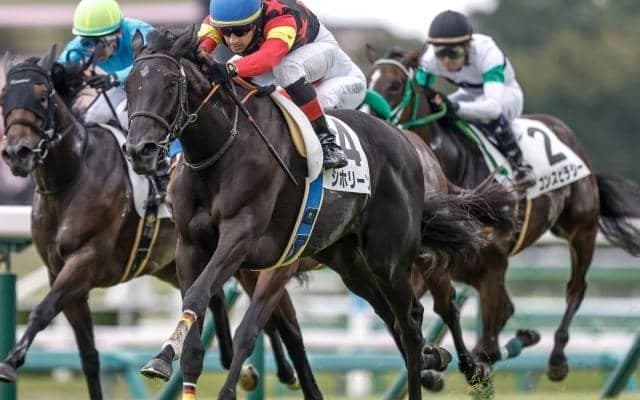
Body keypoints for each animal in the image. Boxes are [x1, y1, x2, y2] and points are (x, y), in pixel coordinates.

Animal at [0, 48, 309, 399]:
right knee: (225, 305)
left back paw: (282, 371)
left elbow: (42, 310)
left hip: (247, 262)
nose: (17, 152)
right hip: (177, 264)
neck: (72, 176)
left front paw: (10, 362)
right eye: (4, 96)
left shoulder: (85, 261)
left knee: (280, 320)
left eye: (42, 95)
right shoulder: (61, 274)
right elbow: (88, 356)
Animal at [123, 26, 517, 399]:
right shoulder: (192, 246)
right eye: (129, 85)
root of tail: (406, 142)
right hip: (348, 260)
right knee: (391, 314)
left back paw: (450, 365)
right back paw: (434, 358)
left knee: (413, 320)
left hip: (389, 258)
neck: (221, 152)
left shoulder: (247, 242)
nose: (140, 150)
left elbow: (239, 322)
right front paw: (166, 360)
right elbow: (200, 309)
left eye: (171, 82)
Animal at [364, 45, 640, 381]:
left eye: (394, 85)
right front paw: (433, 367)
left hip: (581, 230)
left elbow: (487, 347)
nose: (368, 123)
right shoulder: (429, 265)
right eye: (368, 79)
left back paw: (557, 359)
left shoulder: (492, 265)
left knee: (575, 289)